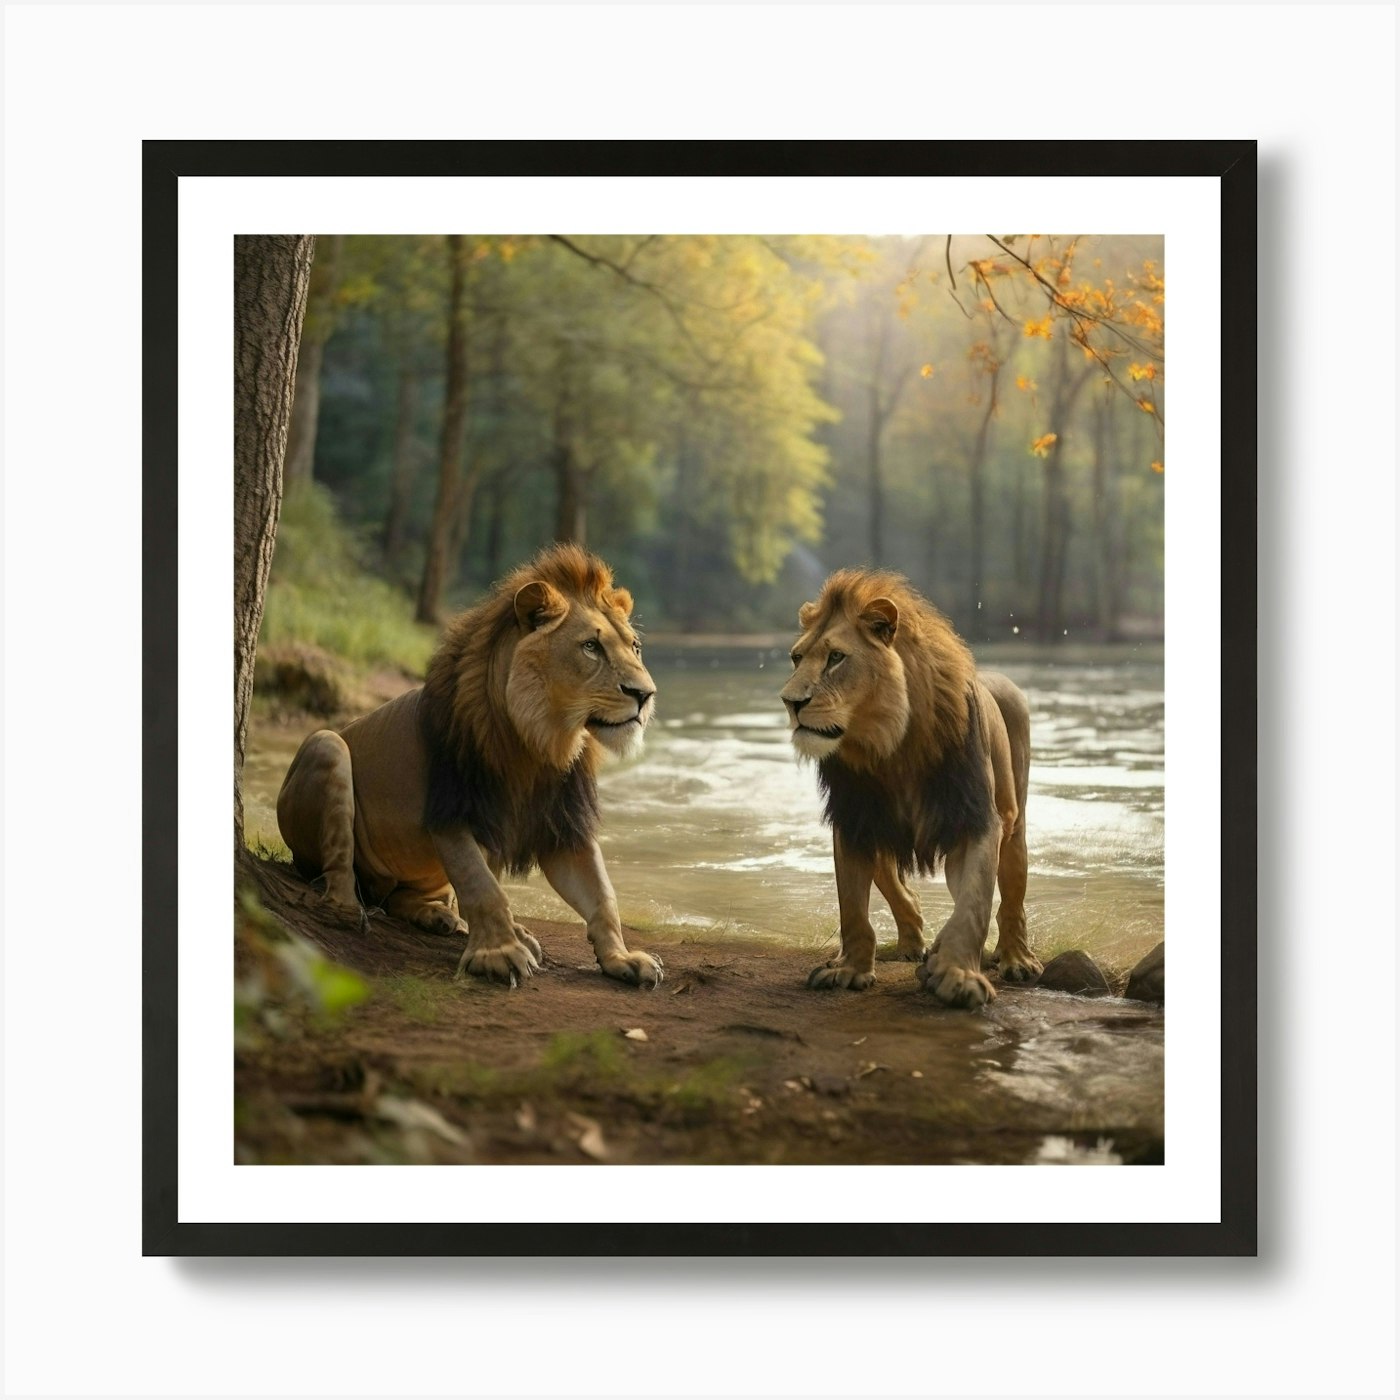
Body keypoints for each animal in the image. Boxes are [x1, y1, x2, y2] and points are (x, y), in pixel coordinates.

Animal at [275, 543, 663, 989]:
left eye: (635, 647)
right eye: (590, 647)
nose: (645, 694)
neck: (539, 740)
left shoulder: (564, 824)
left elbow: (602, 896)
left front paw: (622, 958)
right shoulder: (453, 811)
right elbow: (483, 887)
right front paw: (498, 954)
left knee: (404, 896)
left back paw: (441, 916)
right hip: (327, 746)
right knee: (338, 868)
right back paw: (344, 908)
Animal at [779, 568, 1040, 1008]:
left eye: (836, 658)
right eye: (797, 658)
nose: (790, 702)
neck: (890, 747)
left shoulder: (975, 819)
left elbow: (973, 905)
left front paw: (956, 974)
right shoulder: (851, 820)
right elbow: (852, 907)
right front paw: (850, 969)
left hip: (1014, 822)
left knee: (1012, 897)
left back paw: (1016, 957)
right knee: (893, 882)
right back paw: (909, 941)